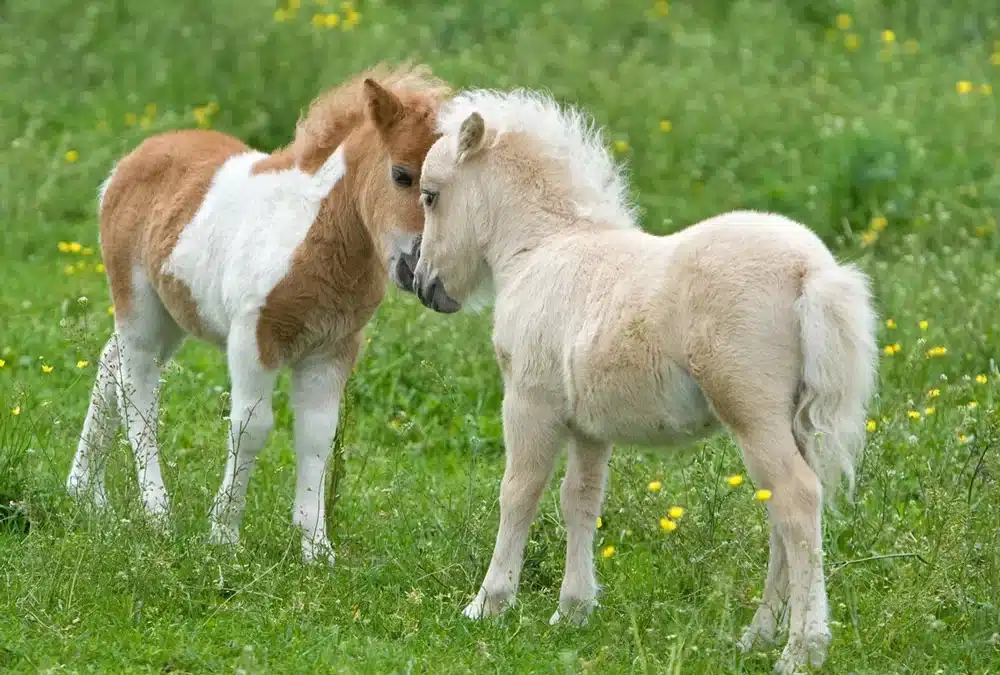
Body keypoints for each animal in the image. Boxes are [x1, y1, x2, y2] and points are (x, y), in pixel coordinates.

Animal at [67, 63, 451, 566]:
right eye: (401, 175)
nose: (421, 271)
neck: (316, 234)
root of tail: (128, 162)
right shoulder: (253, 338)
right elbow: (252, 428)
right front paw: (223, 536)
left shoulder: (332, 349)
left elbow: (317, 435)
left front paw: (316, 549)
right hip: (139, 306)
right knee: (138, 388)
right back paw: (156, 514)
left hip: (173, 315)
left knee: (110, 362)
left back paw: (86, 495)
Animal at [410, 89, 878, 674]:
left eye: (431, 195)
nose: (423, 285)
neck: (543, 249)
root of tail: (811, 270)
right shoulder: (588, 425)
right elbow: (580, 499)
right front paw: (572, 610)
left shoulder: (529, 402)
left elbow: (518, 492)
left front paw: (488, 604)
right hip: (789, 420)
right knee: (783, 513)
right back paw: (757, 635)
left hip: (752, 412)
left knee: (797, 500)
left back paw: (801, 649)